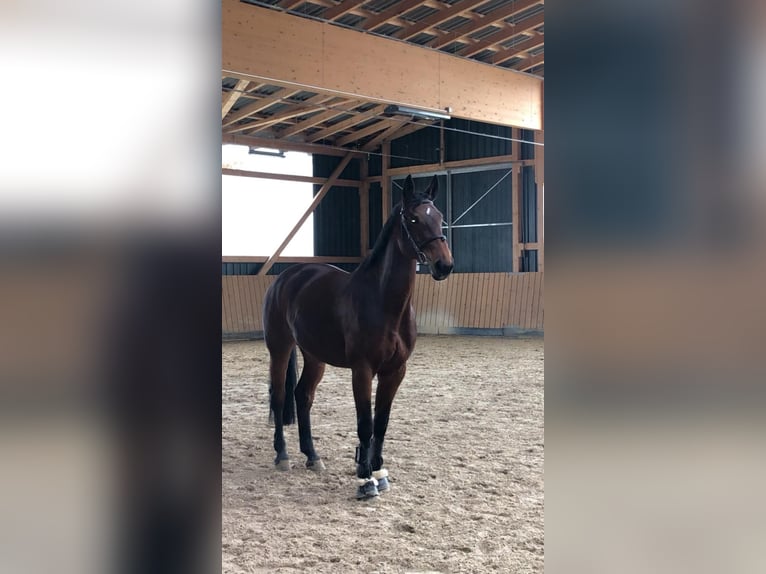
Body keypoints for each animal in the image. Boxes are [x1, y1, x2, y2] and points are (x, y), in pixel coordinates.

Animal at [266, 174, 456, 500]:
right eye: (414, 218)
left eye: (440, 218)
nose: (444, 265)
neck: (383, 302)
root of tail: (286, 277)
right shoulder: (362, 369)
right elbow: (365, 424)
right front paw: (365, 480)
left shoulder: (395, 371)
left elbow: (381, 423)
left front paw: (379, 473)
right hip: (279, 349)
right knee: (279, 397)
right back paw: (283, 456)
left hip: (315, 357)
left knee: (303, 396)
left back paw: (312, 456)